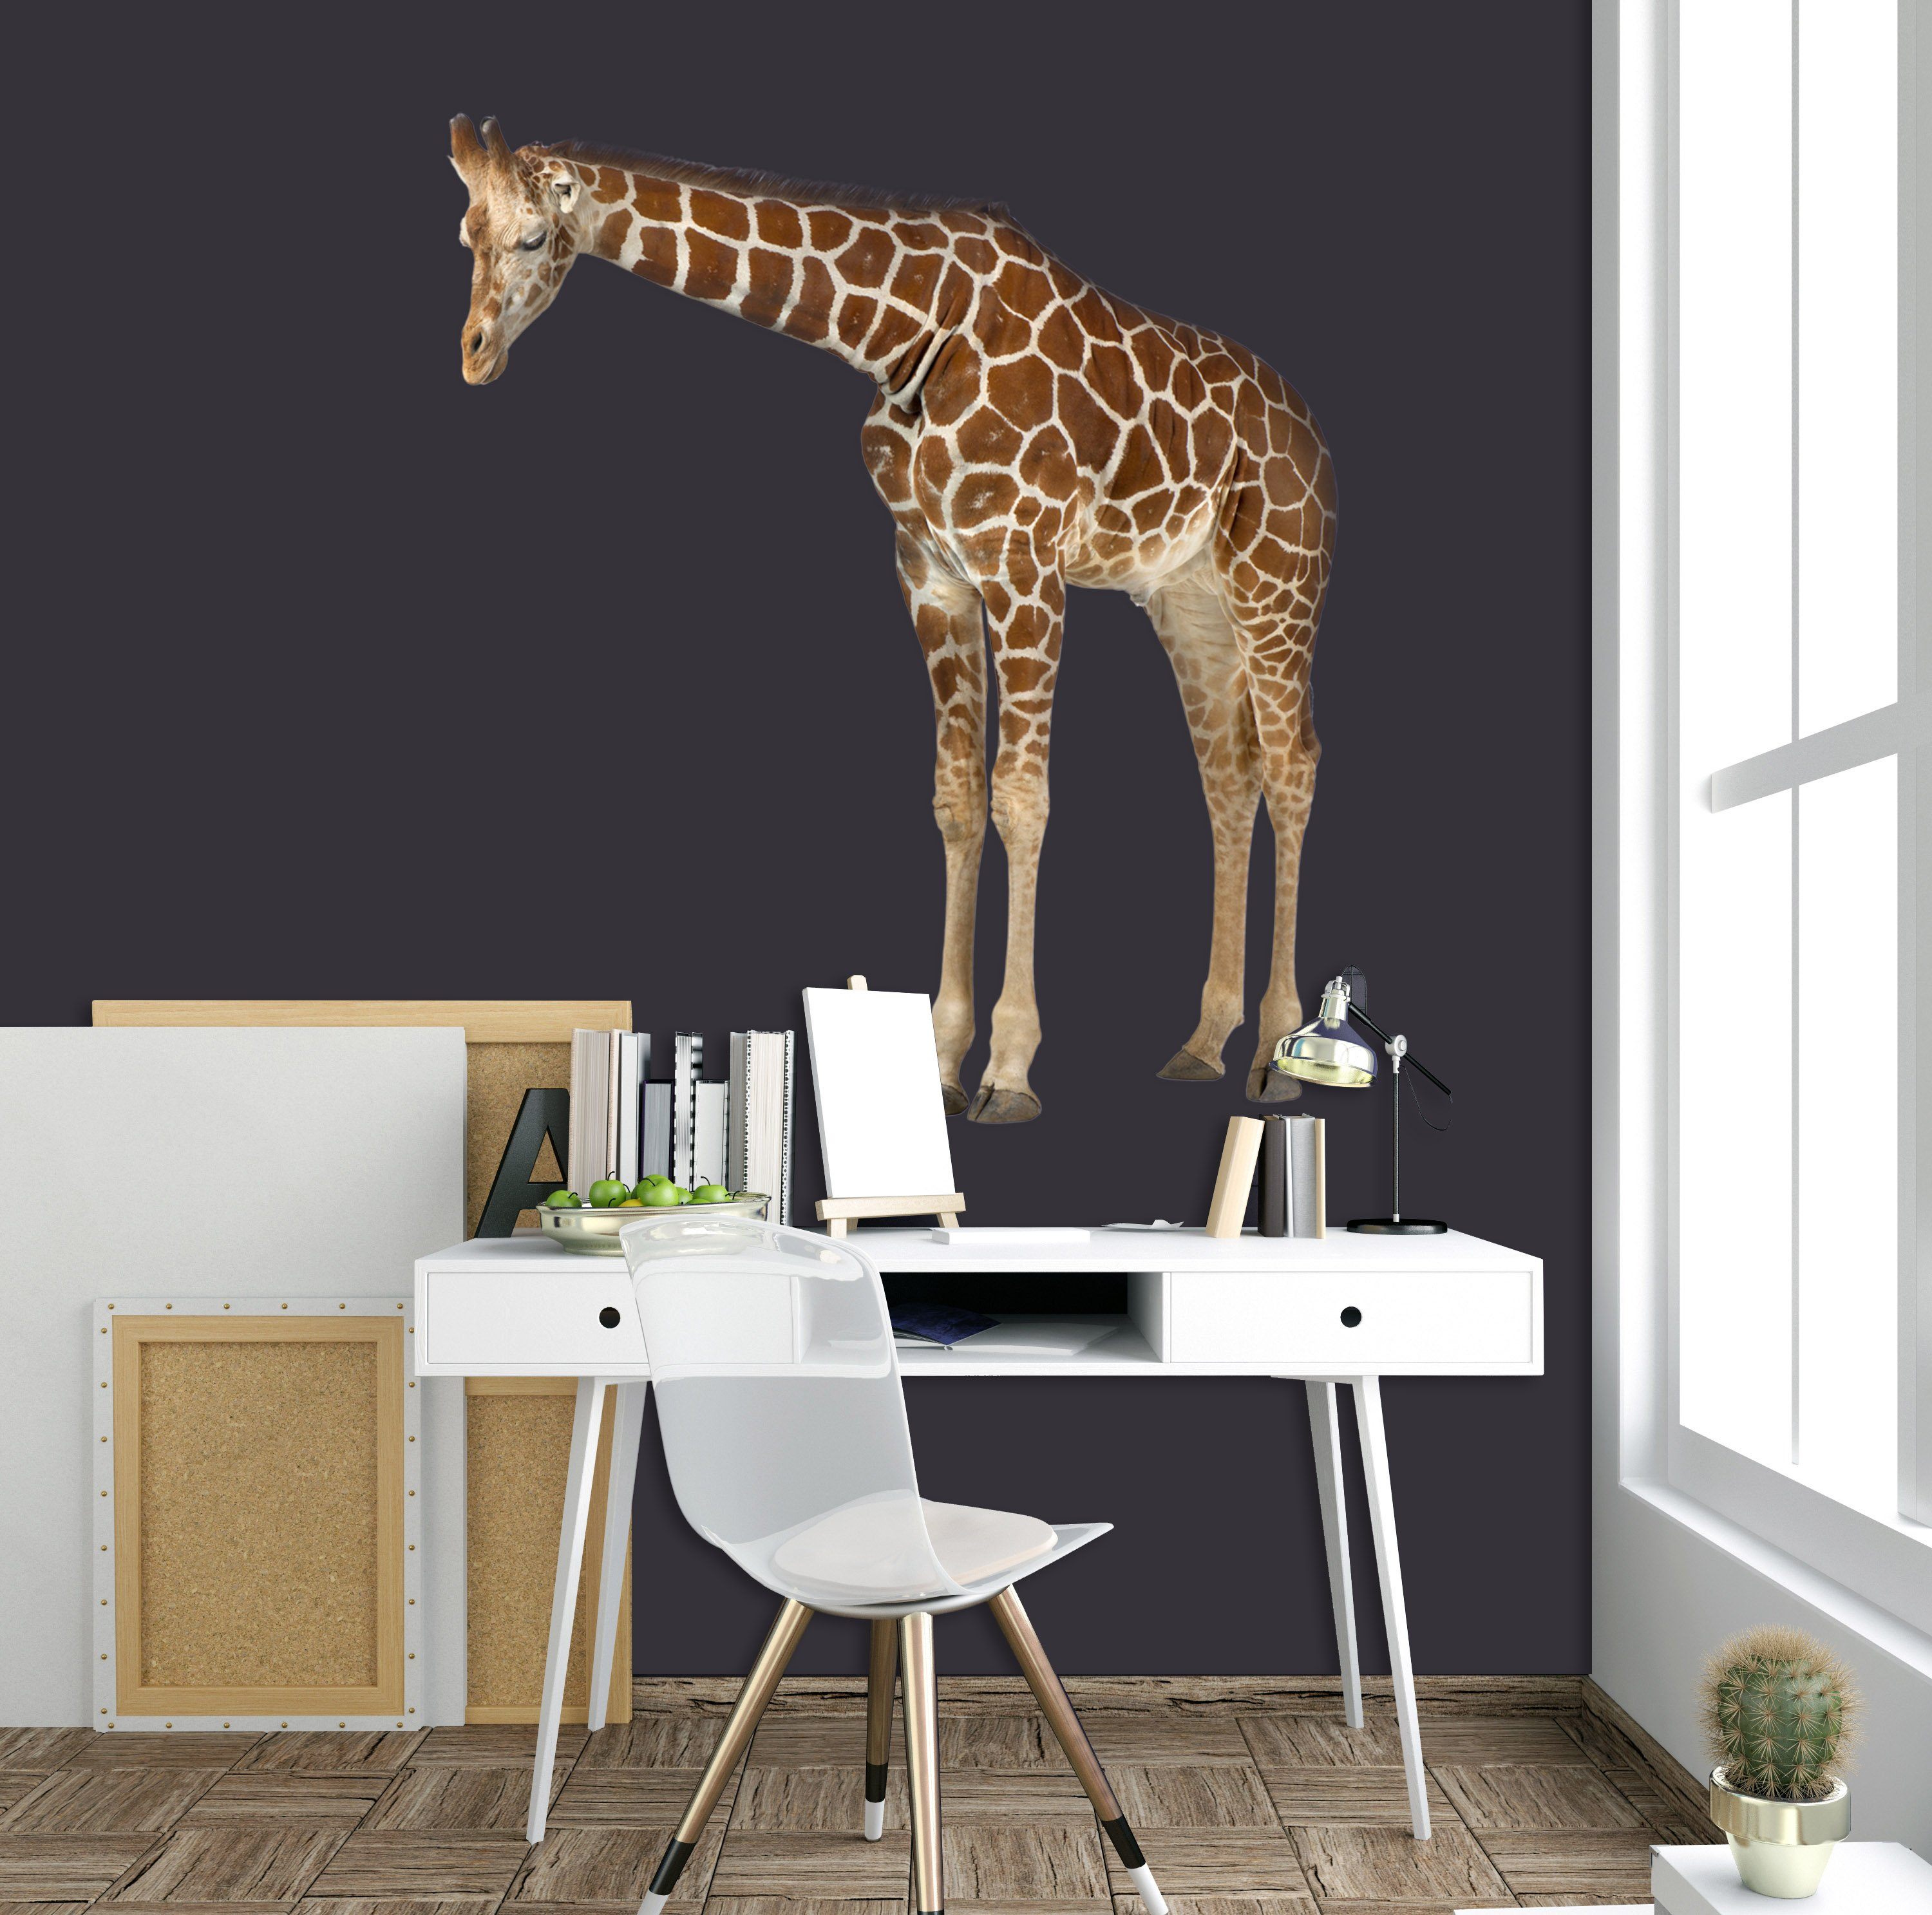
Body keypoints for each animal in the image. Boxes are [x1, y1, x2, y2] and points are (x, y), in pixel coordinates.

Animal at [450, 116, 1336, 1121]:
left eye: (532, 239)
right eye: (465, 236)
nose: (474, 353)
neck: (899, 332)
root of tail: (1312, 435)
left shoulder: (1025, 566)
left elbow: (1022, 799)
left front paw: (1010, 1069)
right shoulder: (932, 574)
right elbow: (957, 800)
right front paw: (944, 1059)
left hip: (1278, 585)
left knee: (1294, 767)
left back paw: (1279, 1050)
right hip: (1189, 601)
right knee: (1229, 776)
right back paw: (1203, 1039)